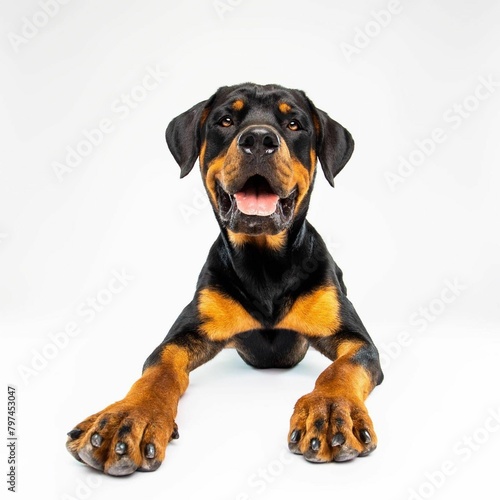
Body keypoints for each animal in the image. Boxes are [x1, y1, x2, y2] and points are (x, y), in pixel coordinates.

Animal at [66, 83, 382, 476]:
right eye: (226, 121)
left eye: (294, 124)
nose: (259, 139)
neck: (264, 265)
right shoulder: (185, 335)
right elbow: (158, 372)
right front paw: (127, 416)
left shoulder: (355, 338)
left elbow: (342, 368)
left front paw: (330, 410)